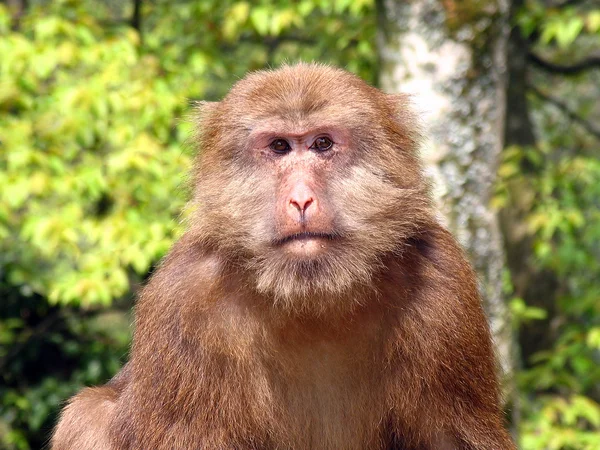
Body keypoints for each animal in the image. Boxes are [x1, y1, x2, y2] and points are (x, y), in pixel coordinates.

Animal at [51, 63, 512, 450]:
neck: (311, 293)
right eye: (279, 147)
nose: (301, 199)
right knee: (89, 415)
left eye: (322, 144)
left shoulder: (441, 281)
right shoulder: (182, 298)